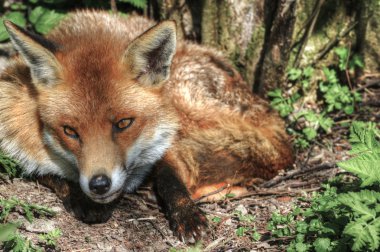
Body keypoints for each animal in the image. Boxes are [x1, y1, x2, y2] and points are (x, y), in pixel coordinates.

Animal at [0, 10, 292, 242]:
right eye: (70, 131)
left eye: (123, 123)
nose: (99, 185)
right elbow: (51, 176)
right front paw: (81, 198)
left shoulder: (167, 137)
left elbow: (170, 179)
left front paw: (186, 213)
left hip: (187, 106)